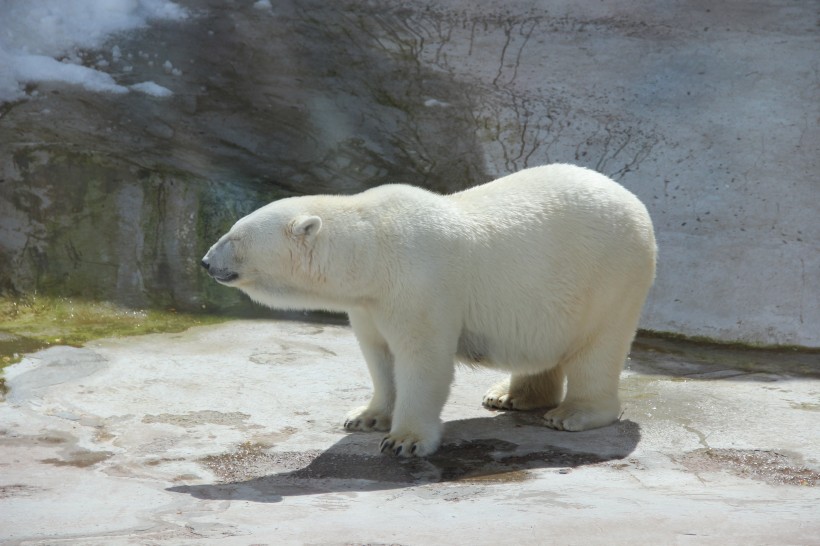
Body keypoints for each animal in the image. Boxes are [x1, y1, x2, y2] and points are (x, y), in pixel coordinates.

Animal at [205, 164, 660, 456]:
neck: (373, 248)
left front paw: (404, 440)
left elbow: (422, 358)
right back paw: (508, 395)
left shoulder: (419, 281)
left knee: (598, 347)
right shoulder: (370, 302)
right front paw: (365, 417)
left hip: (610, 276)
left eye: (235, 237)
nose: (207, 262)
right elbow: (379, 355)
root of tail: (635, 203)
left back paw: (573, 414)